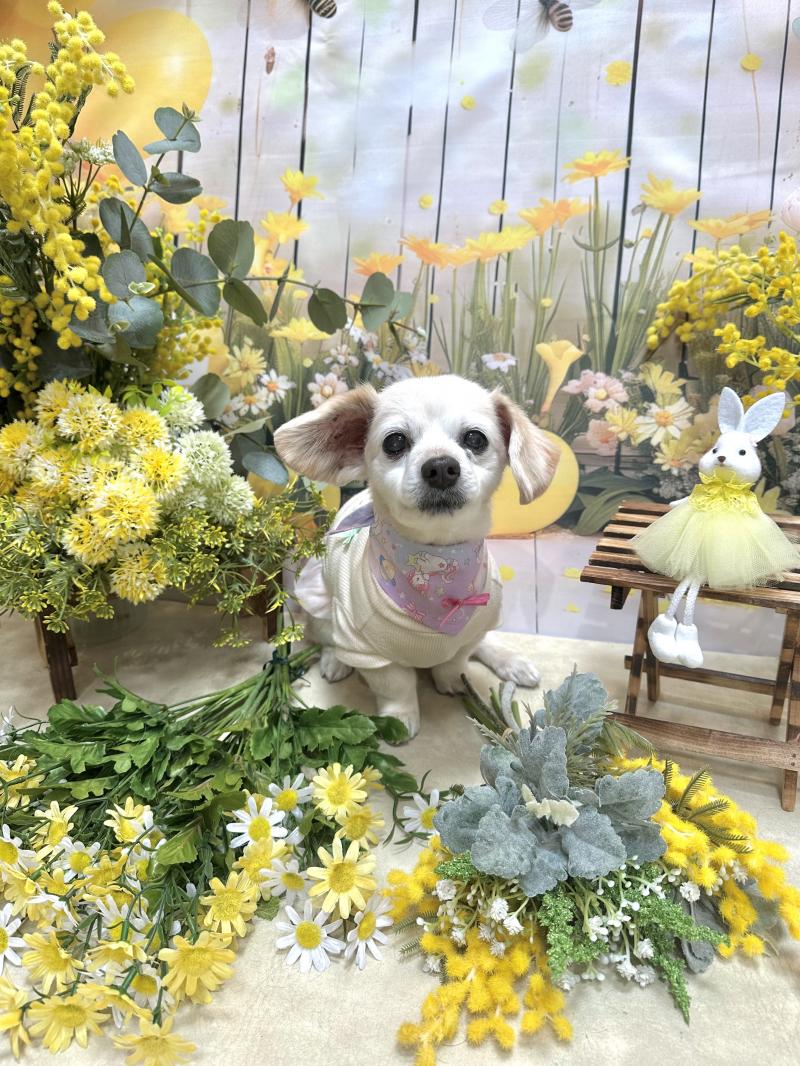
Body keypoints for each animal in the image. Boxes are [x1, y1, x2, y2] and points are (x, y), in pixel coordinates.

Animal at [274, 374, 558, 738]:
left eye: (475, 438)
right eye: (395, 442)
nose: (441, 467)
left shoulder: (468, 631)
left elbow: (455, 660)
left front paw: (450, 680)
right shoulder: (367, 649)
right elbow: (396, 684)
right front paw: (400, 717)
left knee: (485, 642)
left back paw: (512, 662)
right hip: (324, 608)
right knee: (325, 637)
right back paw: (334, 661)